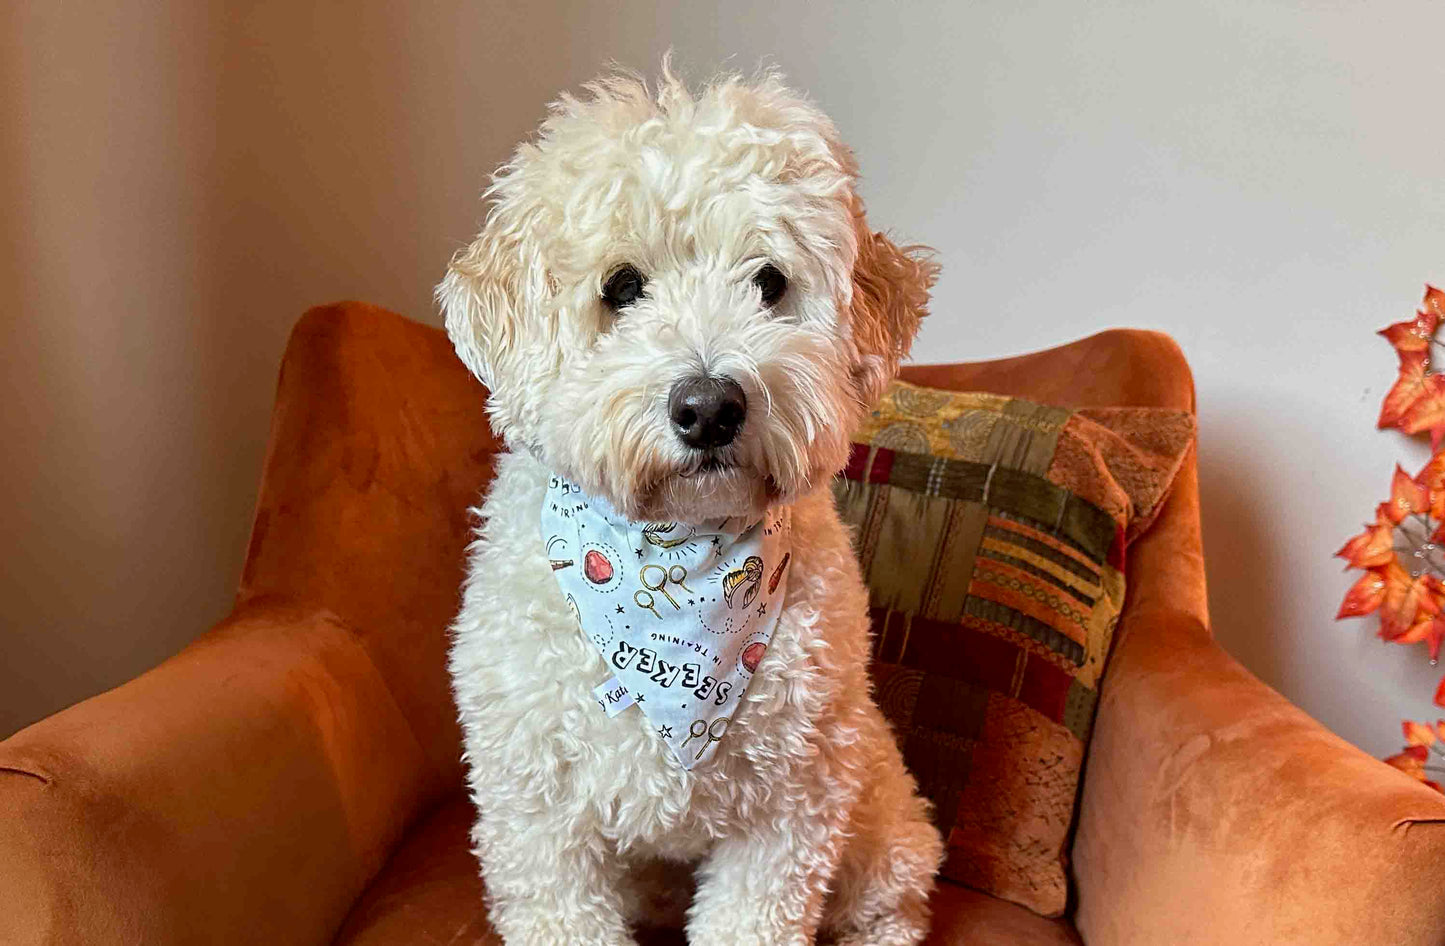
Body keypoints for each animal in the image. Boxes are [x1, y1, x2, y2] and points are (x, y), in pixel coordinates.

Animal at [439, 66, 947, 946]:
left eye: (769, 282)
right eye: (621, 288)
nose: (709, 407)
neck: (677, 560)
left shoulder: (790, 813)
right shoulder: (537, 815)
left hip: (876, 811)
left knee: (895, 894)